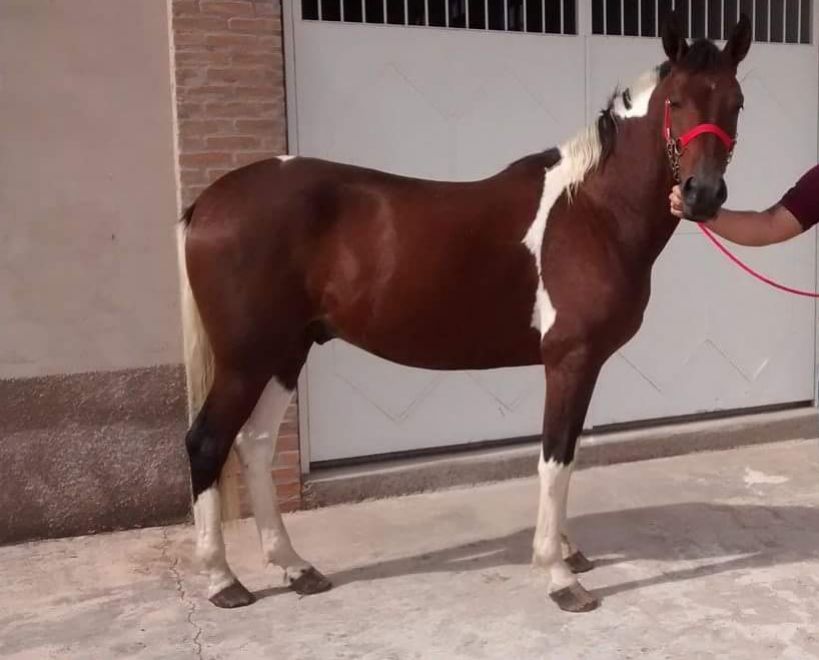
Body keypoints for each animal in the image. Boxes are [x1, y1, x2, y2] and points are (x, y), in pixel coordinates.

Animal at [176, 14, 752, 614]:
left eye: (736, 102)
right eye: (677, 101)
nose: (703, 194)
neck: (591, 211)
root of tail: (209, 203)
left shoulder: (582, 364)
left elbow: (567, 453)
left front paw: (567, 550)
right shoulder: (570, 359)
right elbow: (555, 457)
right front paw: (558, 574)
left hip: (286, 351)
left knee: (255, 444)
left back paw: (295, 566)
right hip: (246, 359)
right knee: (207, 442)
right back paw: (222, 579)